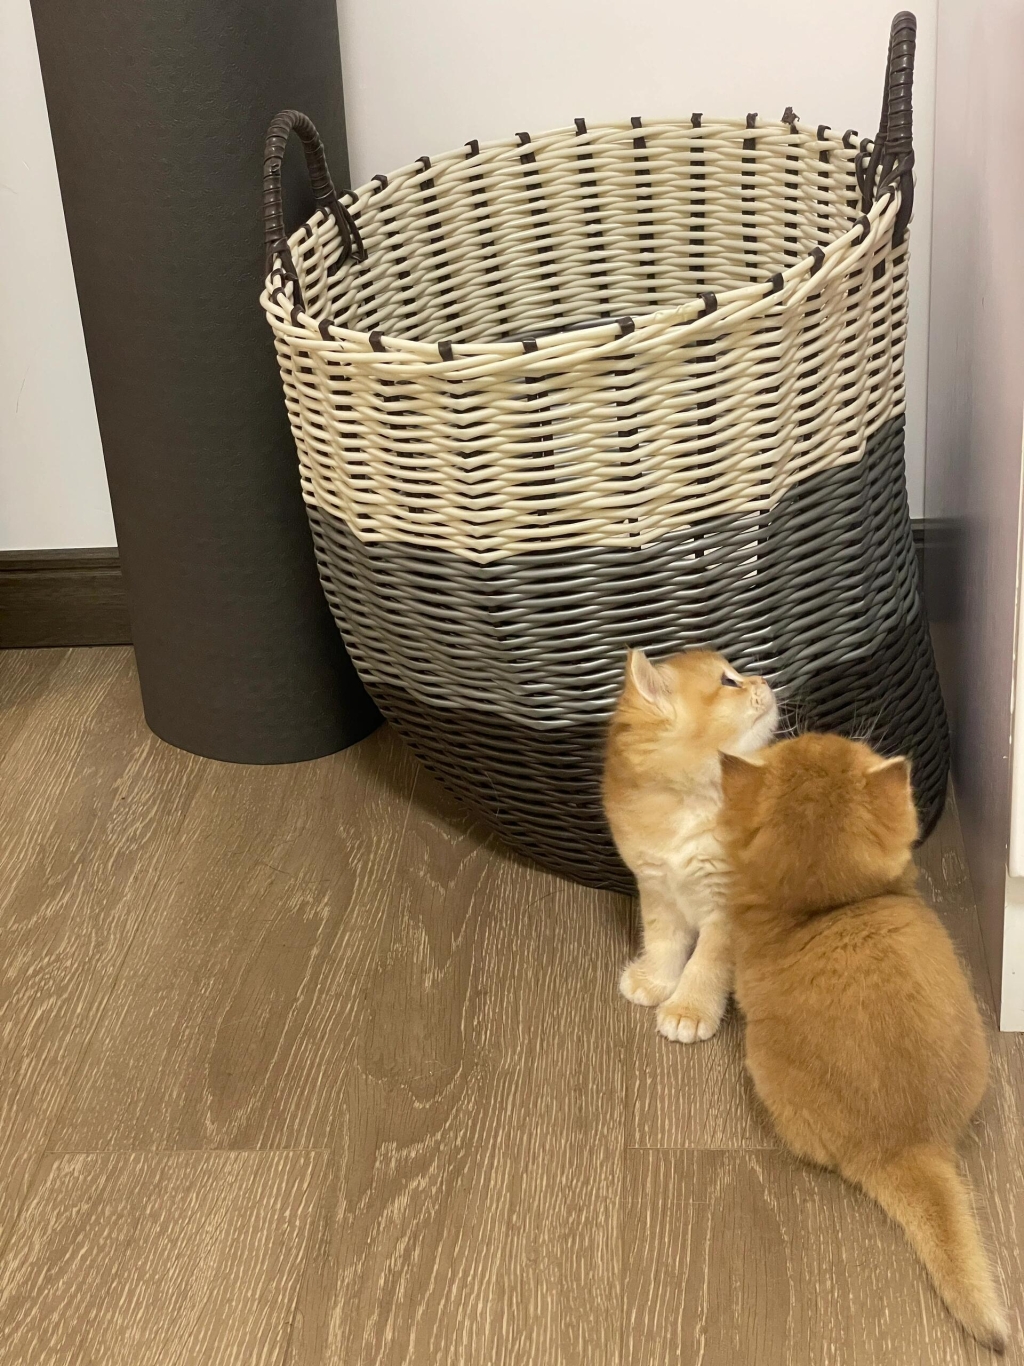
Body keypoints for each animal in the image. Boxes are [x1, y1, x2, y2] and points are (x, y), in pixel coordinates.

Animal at [603, 648, 777, 1043]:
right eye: (728, 681)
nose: (763, 679)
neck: (692, 806)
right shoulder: (657, 889)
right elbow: (662, 942)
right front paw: (656, 981)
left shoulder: (725, 907)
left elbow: (705, 964)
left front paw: (689, 1010)